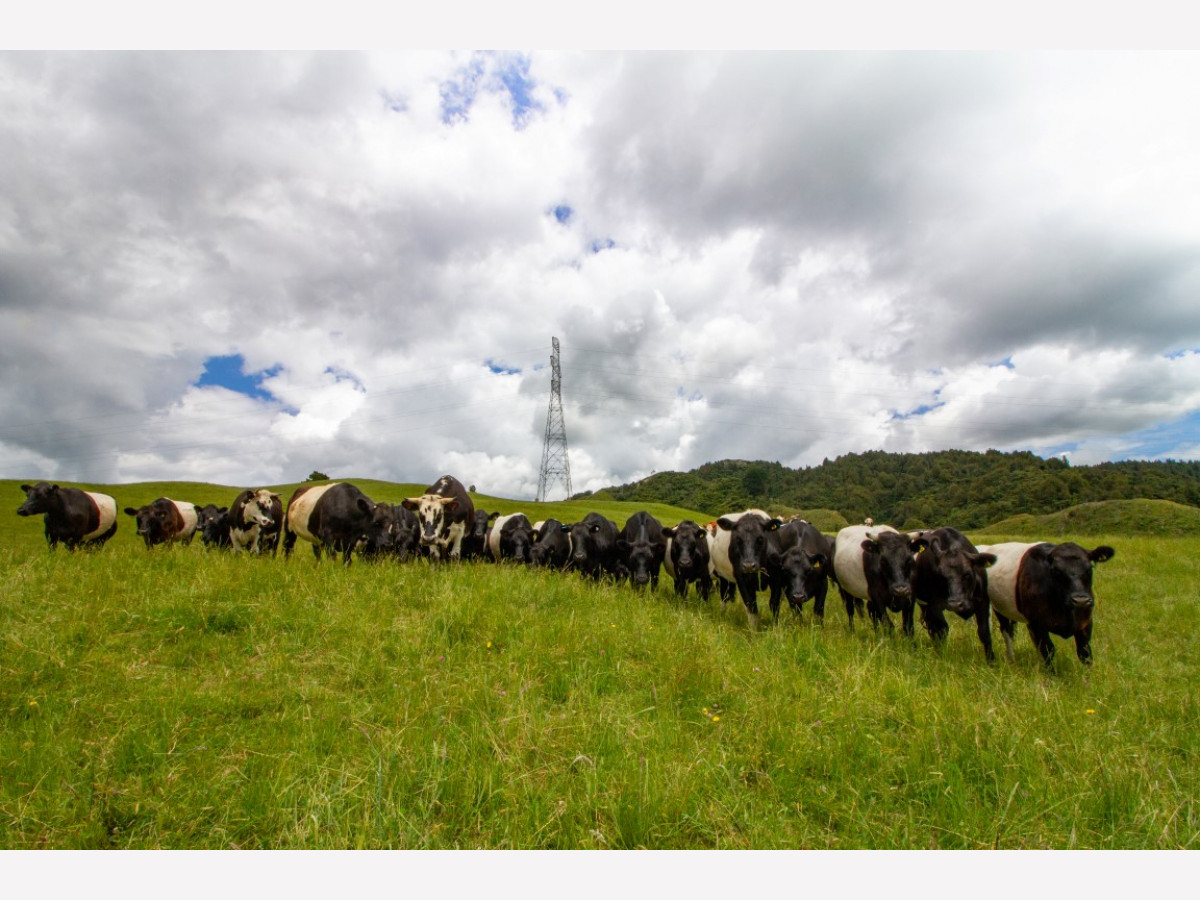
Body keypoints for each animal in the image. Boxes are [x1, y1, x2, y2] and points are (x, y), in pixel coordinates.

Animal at [912, 528, 998, 662]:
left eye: (967, 574)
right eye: (941, 575)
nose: (955, 604)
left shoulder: (983, 601)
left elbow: (984, 631)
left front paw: (991, 661)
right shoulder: (933, 604)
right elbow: (941, 629)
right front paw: (941, 656)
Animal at [974, 542, 1113, 672]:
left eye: (1089, 569)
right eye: (1056, 571)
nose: (1080, 600)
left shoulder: (1085, 622)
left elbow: (1085, 653)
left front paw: (1087, 678)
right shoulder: (1037, 623)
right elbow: (1048, 650)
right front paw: (1052, 676)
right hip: (997, 608)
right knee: (1005, 630)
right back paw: (1011, 658)